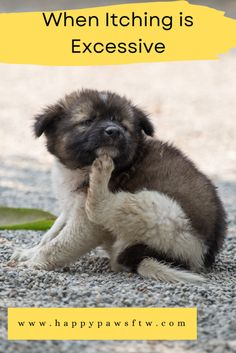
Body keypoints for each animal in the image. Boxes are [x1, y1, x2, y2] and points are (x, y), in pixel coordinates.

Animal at [11, 89, 227, 282]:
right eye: (87, 121)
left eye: (123, 125)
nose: (114, 131)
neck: (80, 168)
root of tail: (198, 255)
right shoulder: (70, 205)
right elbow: (52, 233)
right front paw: (29, 252)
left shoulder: (87, 223)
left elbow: (59, 244)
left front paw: (33, 263)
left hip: (161, 211)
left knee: (102, 209)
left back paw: (101, 175)